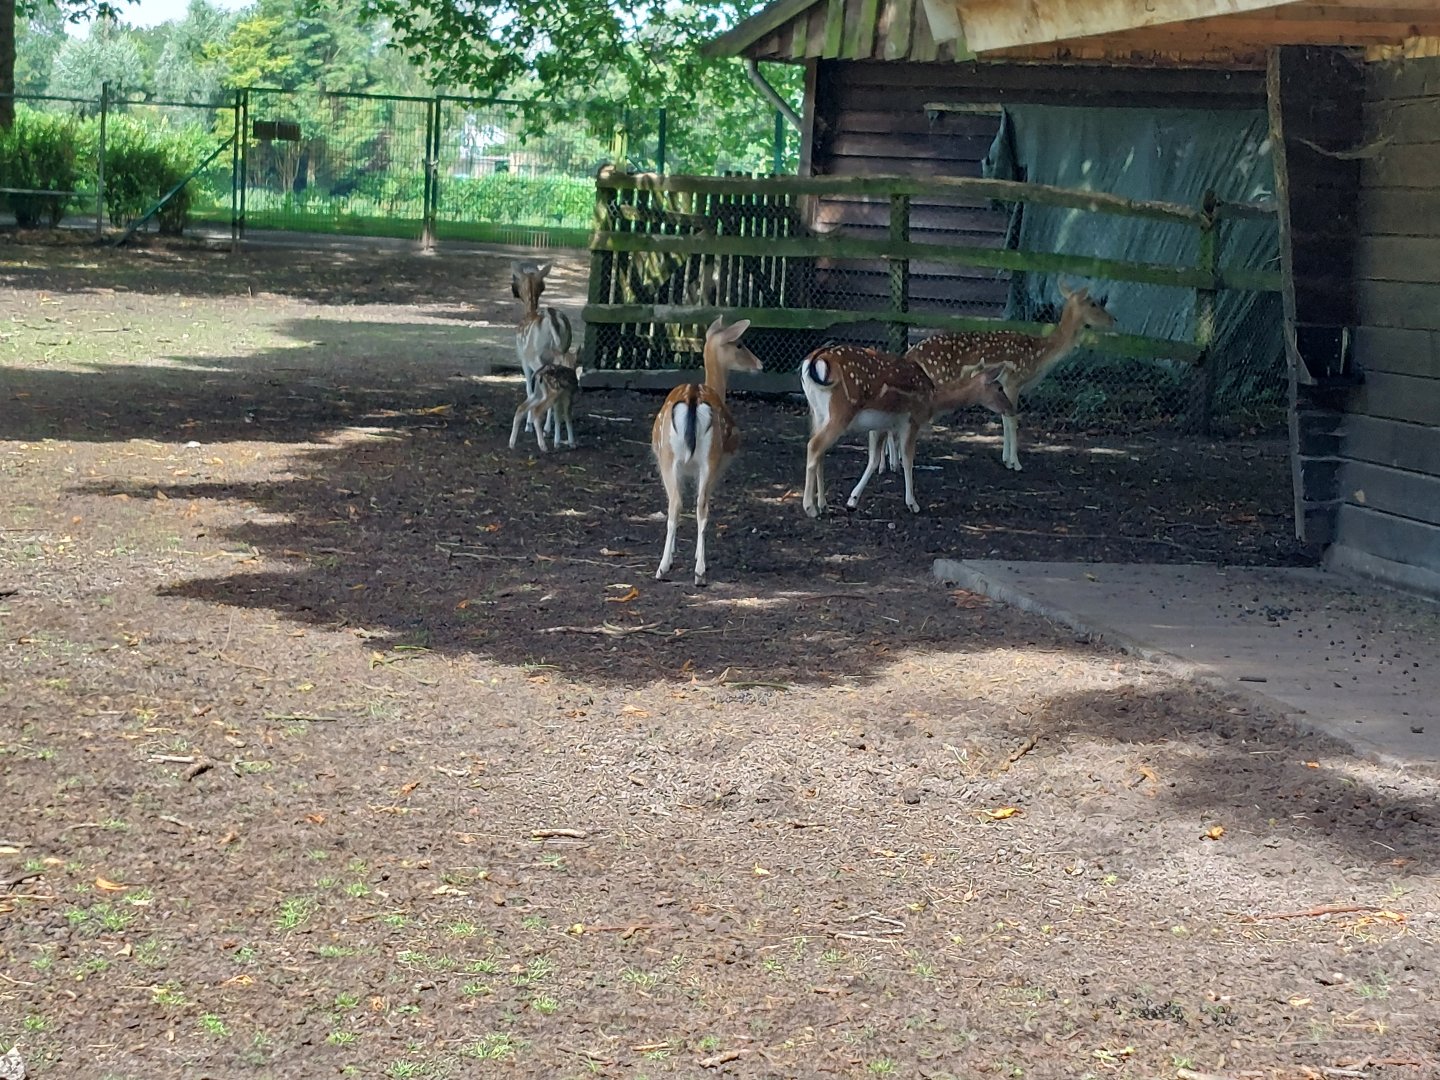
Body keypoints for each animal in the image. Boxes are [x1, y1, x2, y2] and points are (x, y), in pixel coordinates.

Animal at [512, 261, 574, 437]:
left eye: (517, 280)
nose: (513, 290)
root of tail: (554, 320)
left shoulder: (523, 360)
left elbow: (529, 389)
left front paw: (528, 425)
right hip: (565, 352)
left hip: (536, 357)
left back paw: (542, 426)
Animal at [653, 316, 763, 587]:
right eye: (740, 344)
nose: (760, 364)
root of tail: (693, 396)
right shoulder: (719, 464)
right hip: (704, 458)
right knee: (696, 506)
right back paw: (694, 572)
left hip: (675, 457)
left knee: (679, 504)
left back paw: (672, 569)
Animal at [800, 345, 1015, 518]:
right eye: (999, 387)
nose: (1012, 408)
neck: (933, 401)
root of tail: (815, 361)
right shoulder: (912, 420)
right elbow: (908, 460)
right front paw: (913, 504)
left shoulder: (882, 425)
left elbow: (874, 459)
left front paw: (852, 501)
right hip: (840, 411)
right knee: (814, 445)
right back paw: (810, 508)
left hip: (817, 412)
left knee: (820, 452)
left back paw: (823, 505)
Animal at [898, 282, 1115, 472]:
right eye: (1093, 303)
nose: (1113, 320)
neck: (1040, 356)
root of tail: (910, 354)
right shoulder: (1013, 381)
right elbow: (1012, 420)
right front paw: (1015, 463)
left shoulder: (1001, 386)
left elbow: (1004, 418)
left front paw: (1005, 459)